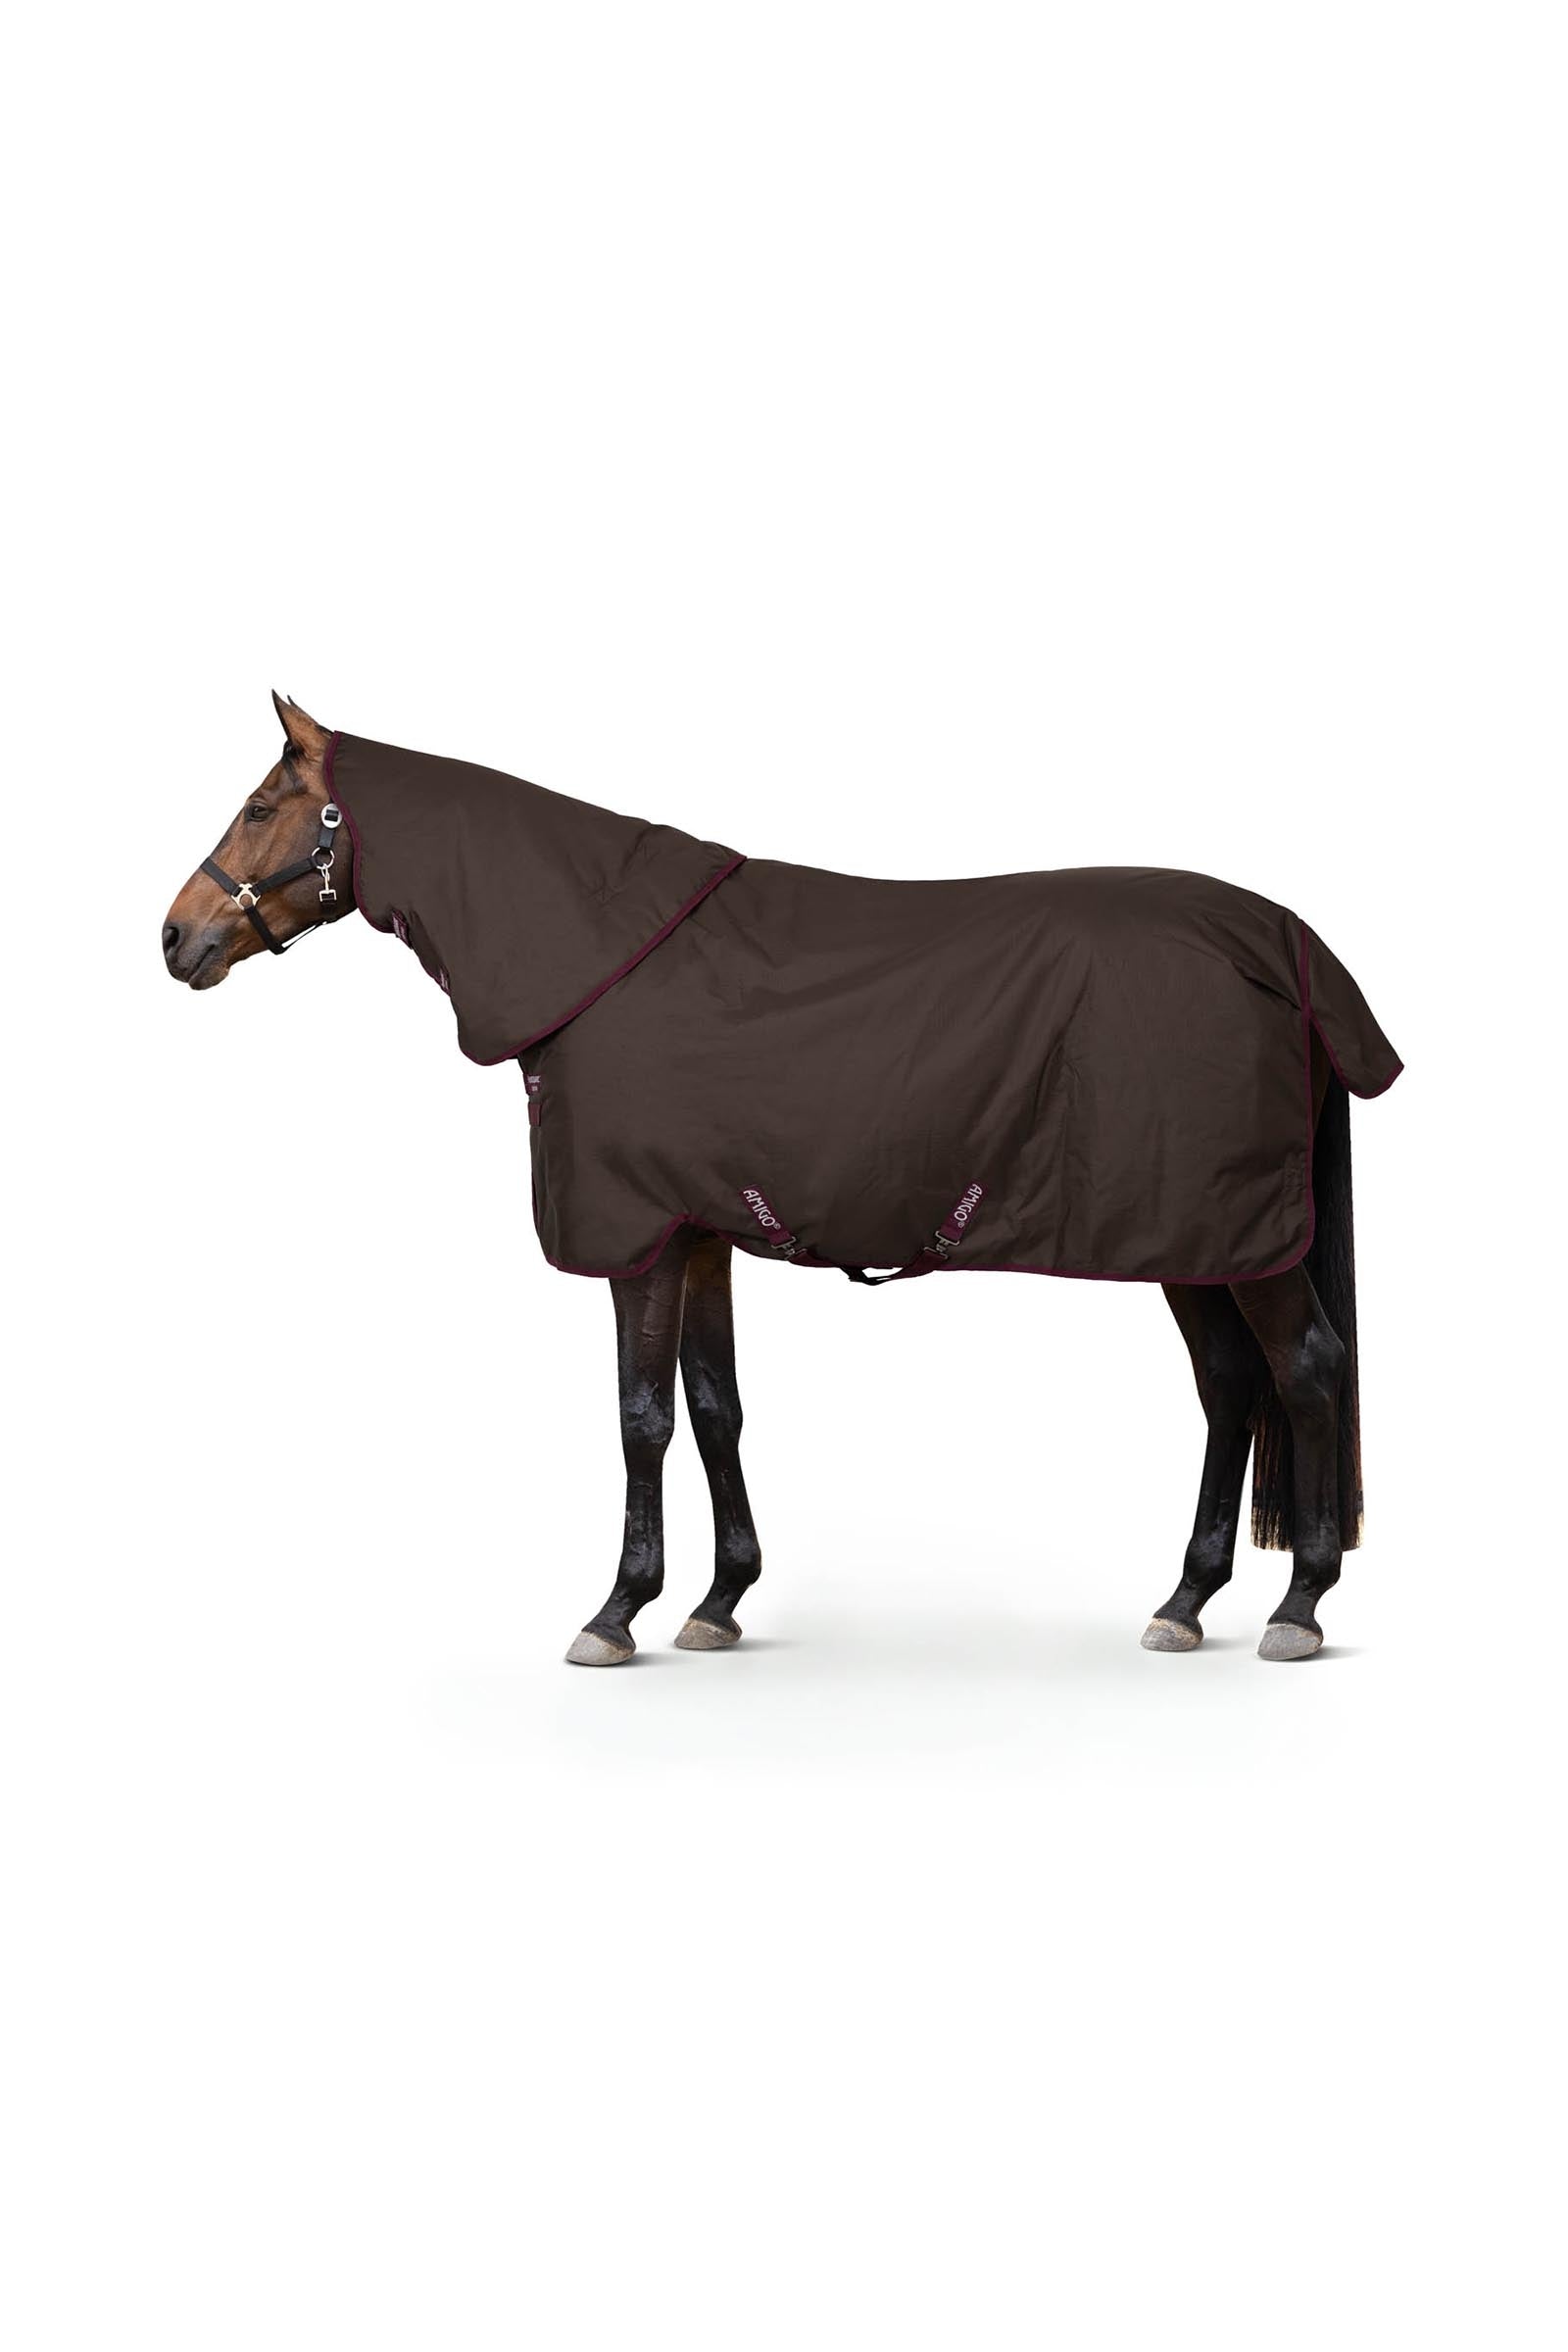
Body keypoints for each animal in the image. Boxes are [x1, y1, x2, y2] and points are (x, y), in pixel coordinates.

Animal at [164, 694, 1401, 1667]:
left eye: (262, 808)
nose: (176, 938)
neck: (600, 956)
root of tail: (1284, 945)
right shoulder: (700, 1231)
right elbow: (716, 1407)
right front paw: (717, 1600)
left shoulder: (640, 1237)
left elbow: (642, 1417)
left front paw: (617, 1611)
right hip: (1192, 1239)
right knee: (1231, 1389)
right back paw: (1186, 1601)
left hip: (1231, 1238)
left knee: (1305, 1370)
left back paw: (1299, 1603)